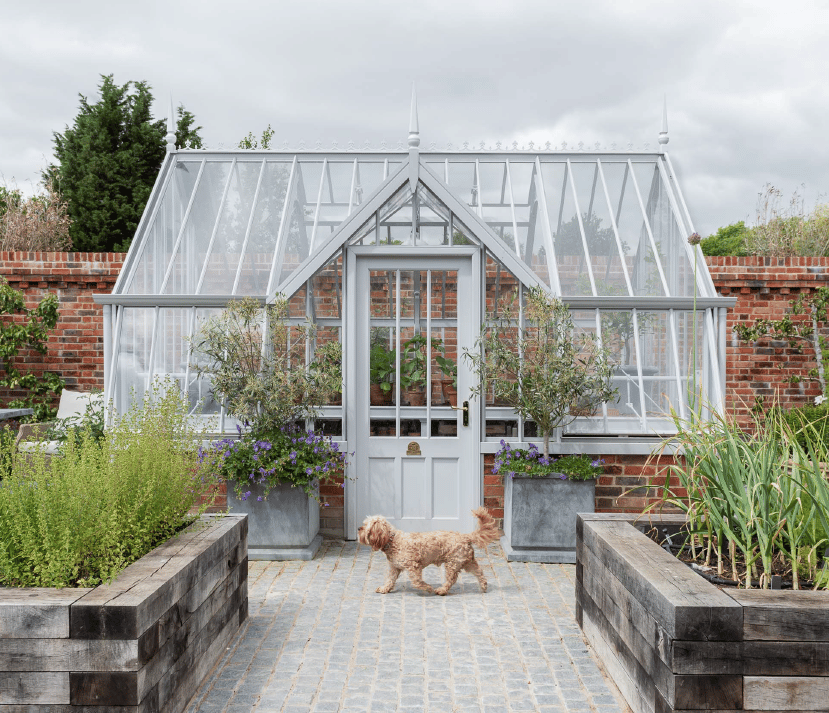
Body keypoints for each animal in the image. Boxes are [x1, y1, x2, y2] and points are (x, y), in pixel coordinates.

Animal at [356, 506, 498, 596]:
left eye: (365, 526)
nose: (358, 528)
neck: (393, 541)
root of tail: (465, 536)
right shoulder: (394, 567)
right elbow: (390, 580)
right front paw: (385, 588)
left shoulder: (413, 566)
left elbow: (416, 582)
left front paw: (428, 588)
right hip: (467, 561)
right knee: (479, 572)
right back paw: (483, 586)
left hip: (453, 563)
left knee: (451, 580)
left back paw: (441, 590)